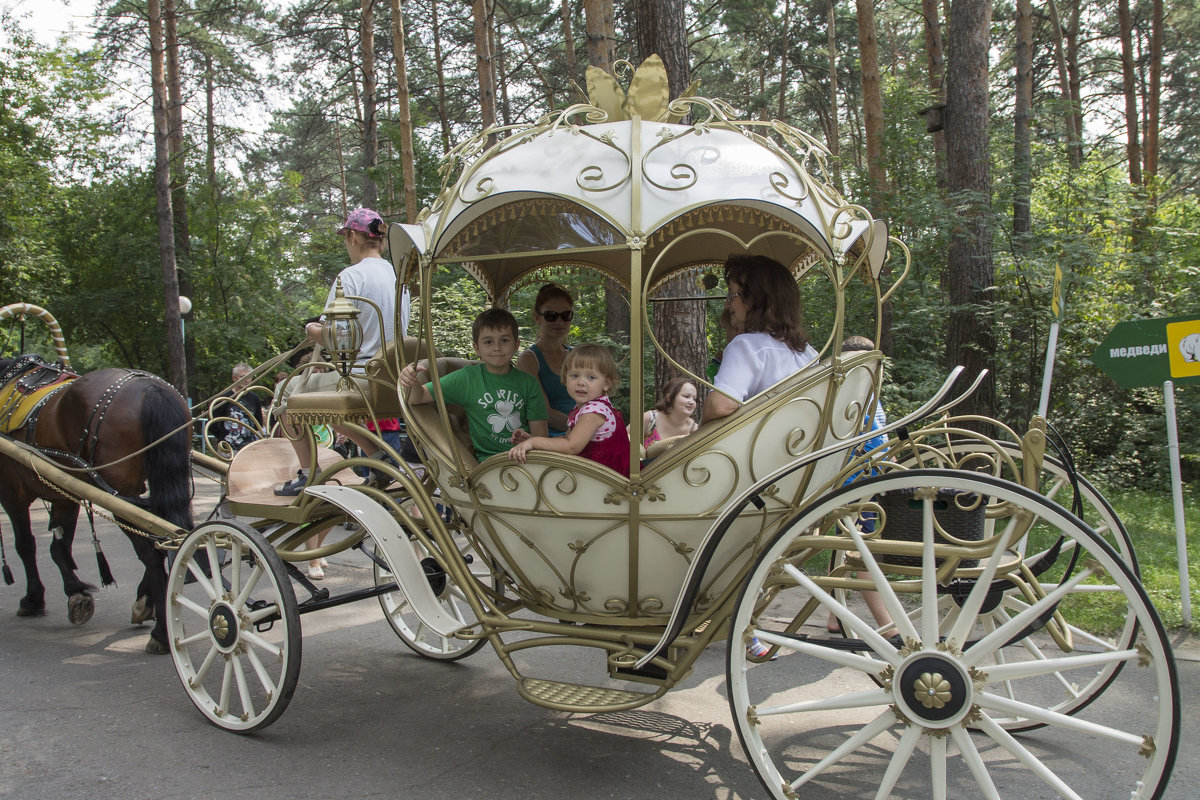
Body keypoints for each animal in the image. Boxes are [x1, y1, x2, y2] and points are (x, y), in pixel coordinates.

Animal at [0, 357, 192, 657]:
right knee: (166, 539)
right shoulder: (65, 494)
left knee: (153, 548)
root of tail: (150, 388)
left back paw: (161, 631)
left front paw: (33, 598)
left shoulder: (11, 493)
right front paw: (76, 593)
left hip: (117, 491)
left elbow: (26, 545)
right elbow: (59, 547)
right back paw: (147, 604)